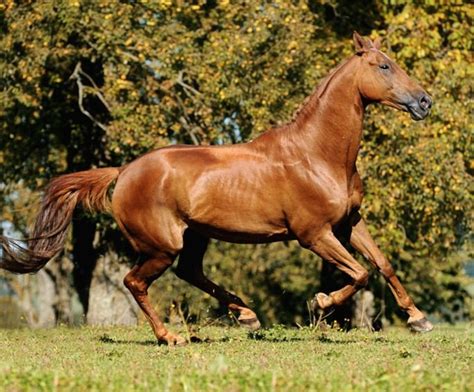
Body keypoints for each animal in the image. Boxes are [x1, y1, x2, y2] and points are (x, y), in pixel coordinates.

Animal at [0, 33, 434, 346]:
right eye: (384, 66)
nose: (425, 101)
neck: (317, 154)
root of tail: (124, 172)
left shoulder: (349, 223)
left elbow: (382, 264)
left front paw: (418, 318)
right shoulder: (313, 234)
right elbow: (360, 273)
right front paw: (321, 303)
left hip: (194, 237)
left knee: (190, 272)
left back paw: (246, 315)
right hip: (162, 246)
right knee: (135, 282)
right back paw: (172, 337)